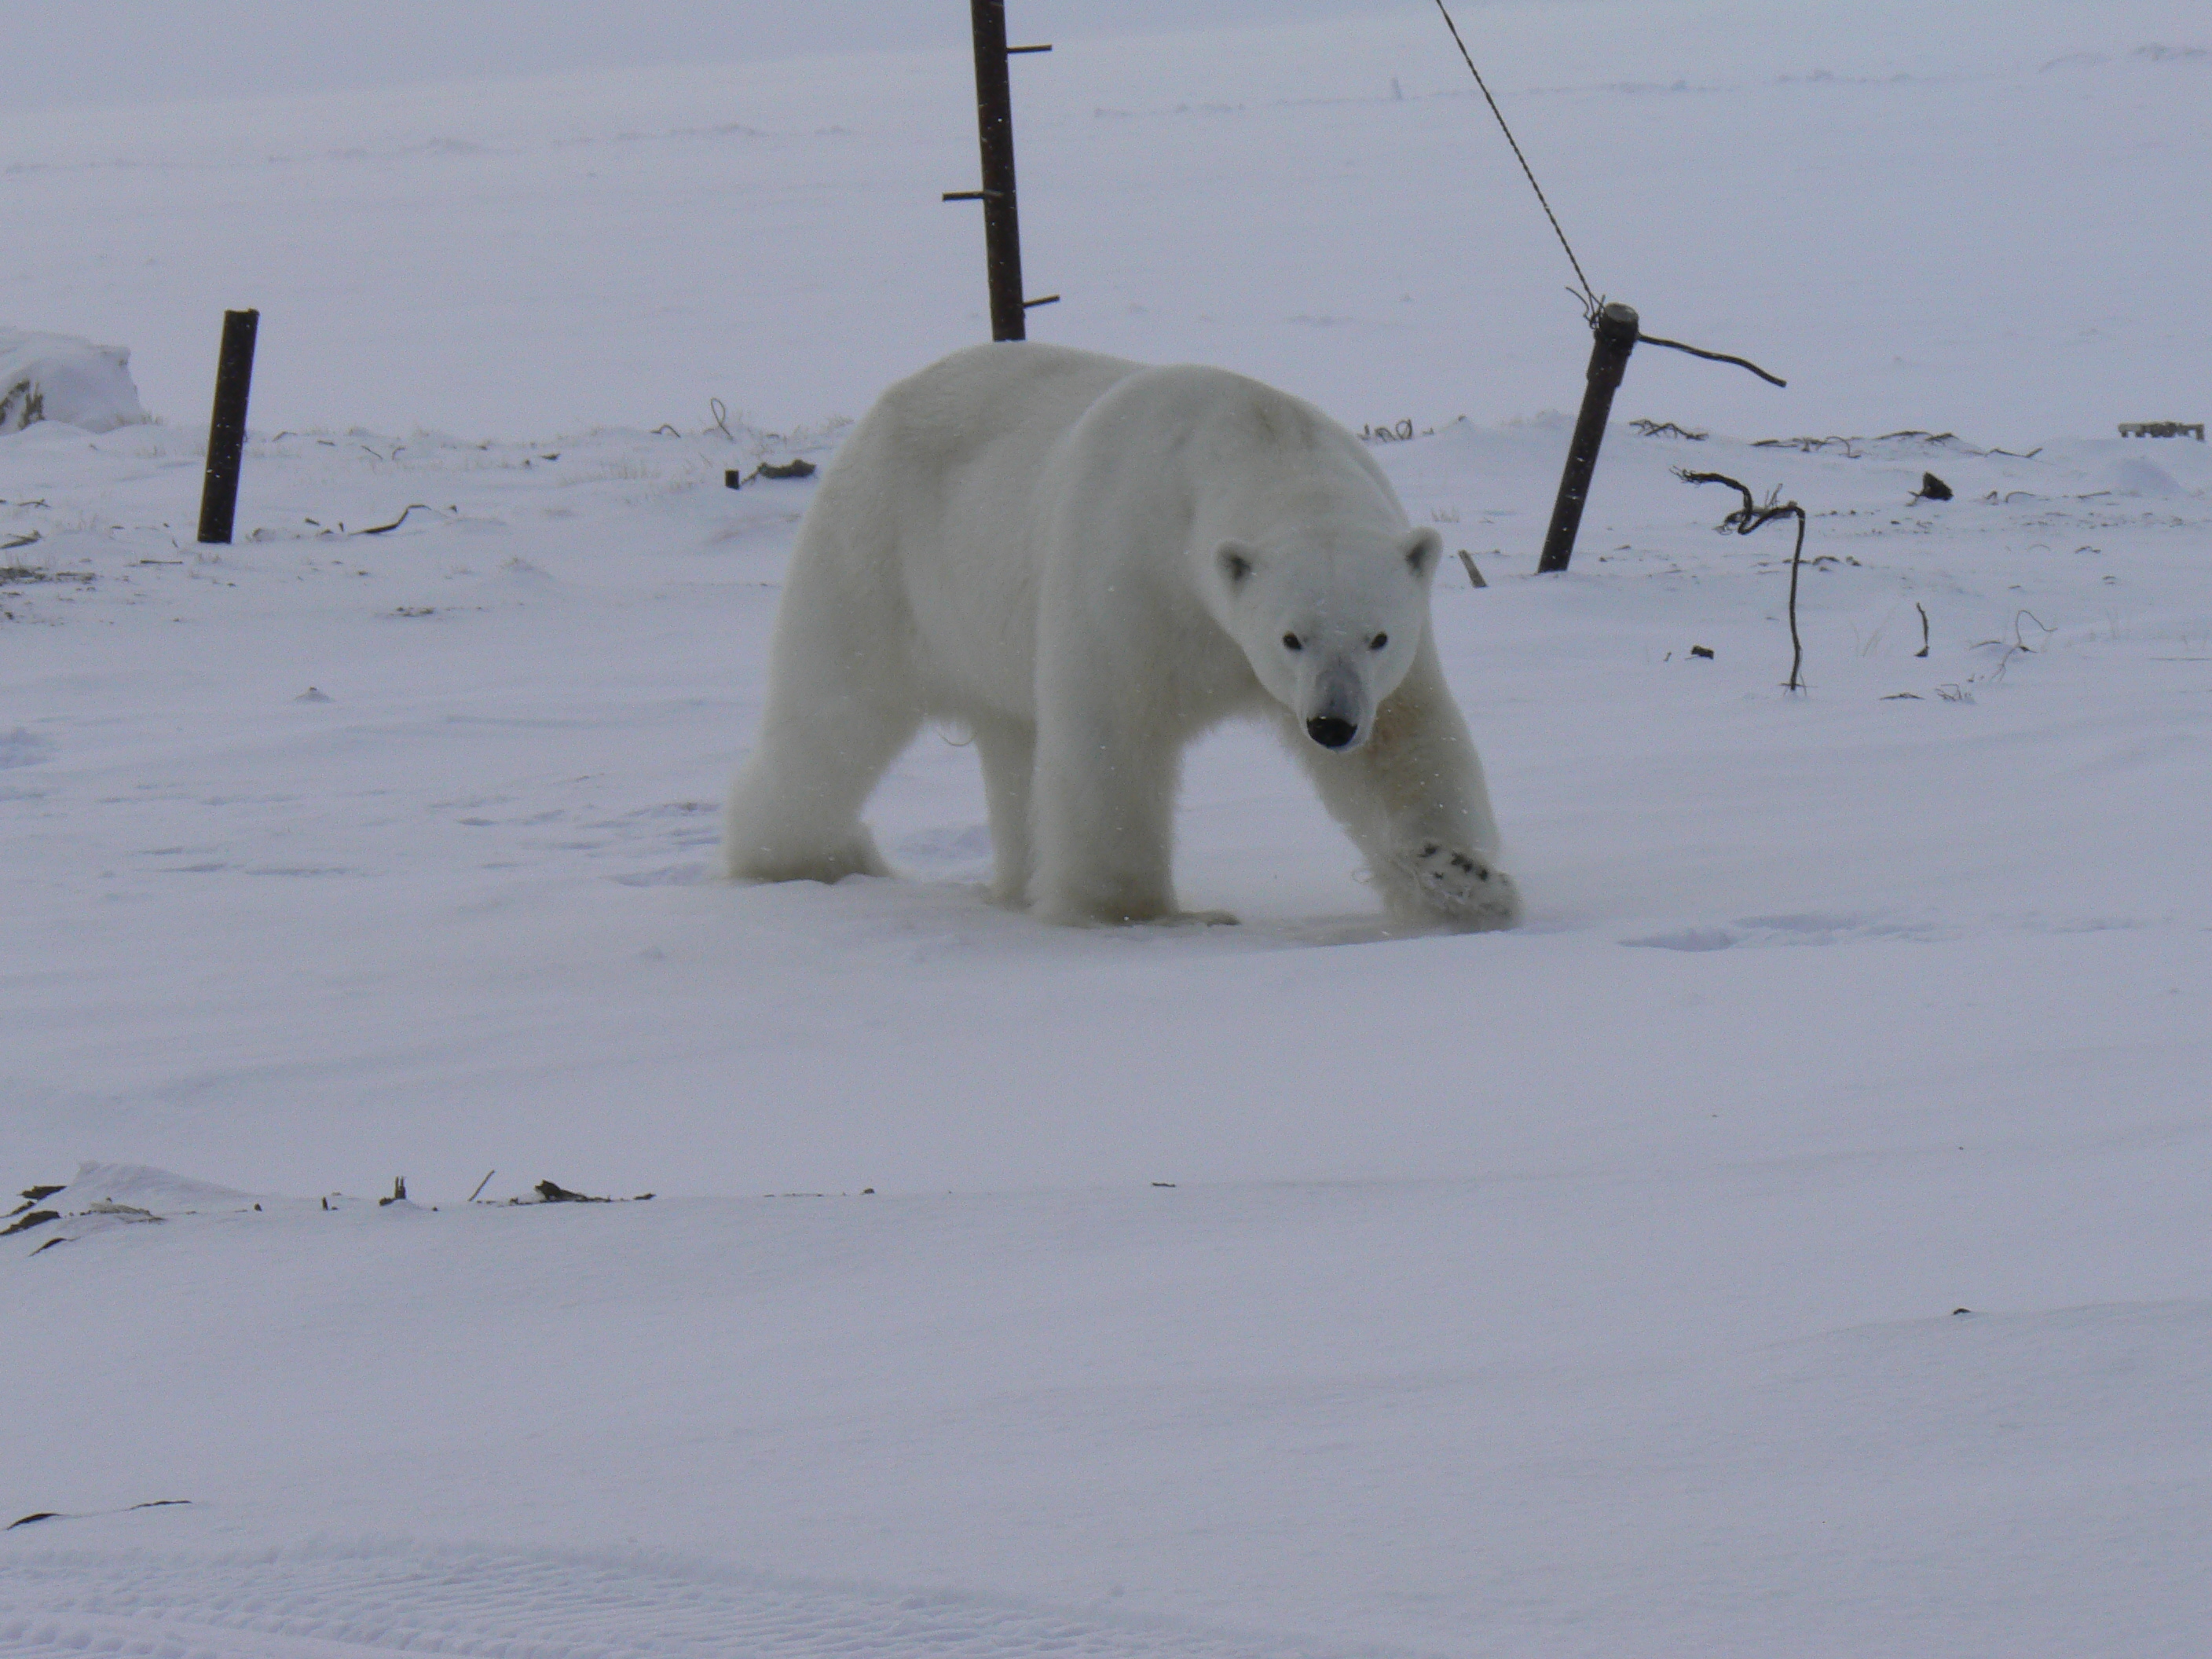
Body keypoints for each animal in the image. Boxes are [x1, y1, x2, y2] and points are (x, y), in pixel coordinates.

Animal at [725, 342, 1522, 928]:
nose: (1330, 724)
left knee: (1011, 741)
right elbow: (1111, 735)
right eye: (1291, 637)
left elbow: (1405, 743)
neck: (1257, 438)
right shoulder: (1128, 577)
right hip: (879, 560)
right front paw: (1135, 912)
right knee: (834, 718)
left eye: (1377, 637)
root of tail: (879, 409)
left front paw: (1459, 876)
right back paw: (807, 858)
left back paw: (1016, 884)